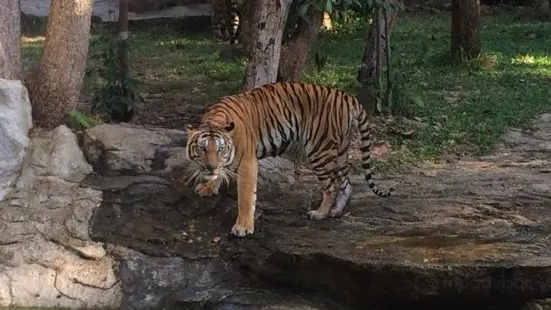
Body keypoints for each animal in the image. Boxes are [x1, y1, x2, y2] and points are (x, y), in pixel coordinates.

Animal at [188, 81, 394, 236]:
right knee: (346, 184)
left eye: (221, 149)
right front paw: (208, 187)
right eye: (202, 149)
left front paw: (243, 227)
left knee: (331, 186)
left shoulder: (247, 162)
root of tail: (346, 96)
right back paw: (335, 211)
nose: (210, 168)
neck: (214, 119)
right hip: (341, 151)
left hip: (320, 150)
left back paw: (320, 213)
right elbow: (222, 173)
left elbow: (245, 197)